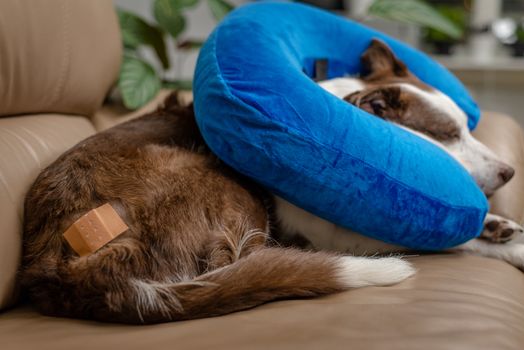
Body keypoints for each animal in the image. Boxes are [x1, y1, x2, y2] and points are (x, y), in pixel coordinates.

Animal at [20, 39, 524, 324]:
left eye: (468, 128)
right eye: (449, 135)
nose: (509, 172)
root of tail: (70, 270)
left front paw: (501, 229)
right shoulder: (331, 232)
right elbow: (446, 241)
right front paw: (501, 239)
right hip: (222, 187)